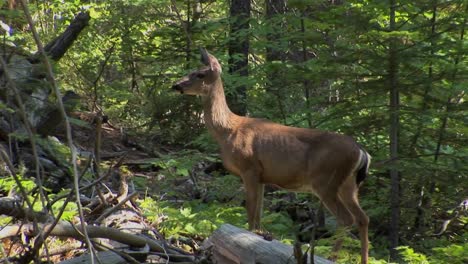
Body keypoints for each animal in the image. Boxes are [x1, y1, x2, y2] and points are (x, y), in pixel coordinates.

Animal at [170, 48, 372, 262]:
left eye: (200, 74)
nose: (176, 85)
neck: (228, 130)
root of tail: (361, 151)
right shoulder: (262, 176)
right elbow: (258, 217)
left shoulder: (249, 168)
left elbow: (251, 213)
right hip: (348, 184)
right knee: (363, 218)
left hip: (326, 180)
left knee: (347, 219)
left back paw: (331, 257)